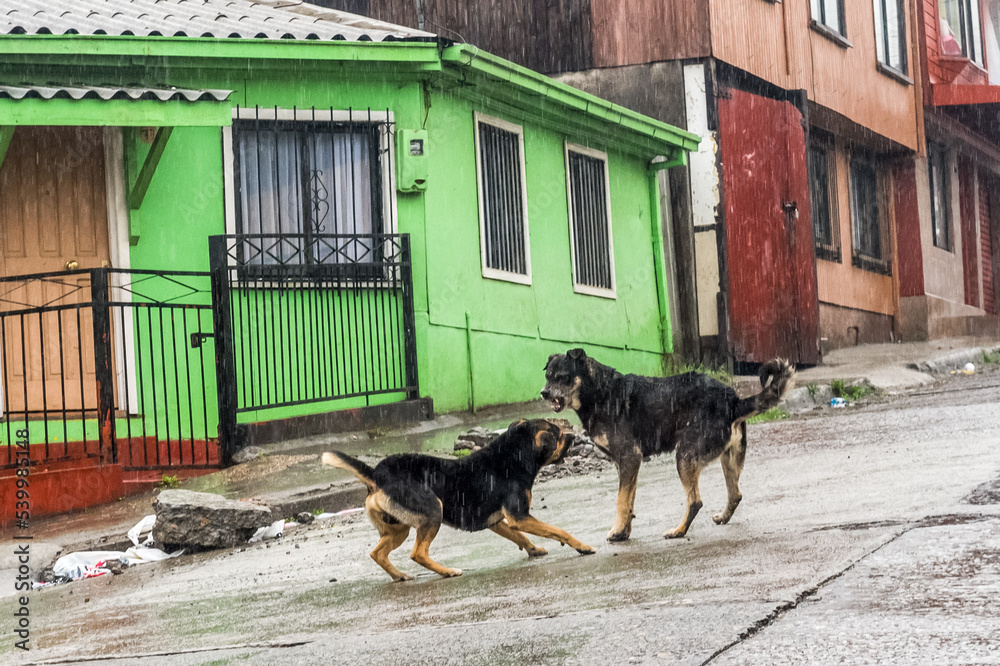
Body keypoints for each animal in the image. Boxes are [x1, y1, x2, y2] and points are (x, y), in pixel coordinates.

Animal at [324, 418, 596, 580]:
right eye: (558, 433)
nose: (575, 438)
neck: (514, 453)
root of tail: (376, 474)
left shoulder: (499, 521)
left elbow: (519, 536)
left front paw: (533, 549)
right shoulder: (520, 516)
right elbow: (558, 530)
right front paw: (582, 546)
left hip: (398, 528)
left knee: (377, 553)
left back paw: (400, 575)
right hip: (434, 510)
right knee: (418, 553)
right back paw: (447, 571)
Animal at [544, 348, 792, 540]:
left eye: (563, 376)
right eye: (547, 376)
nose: (543, 393)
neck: (598, 391)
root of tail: (733, 401)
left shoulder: (629, 457)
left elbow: (621, 501)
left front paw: (617, 531)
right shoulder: (627, 464)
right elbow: (629, 499)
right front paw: (624, 531)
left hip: (684, 457)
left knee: (695, 502)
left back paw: (679, 531)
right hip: (729, 459)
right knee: (735, 494)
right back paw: (722, 517)